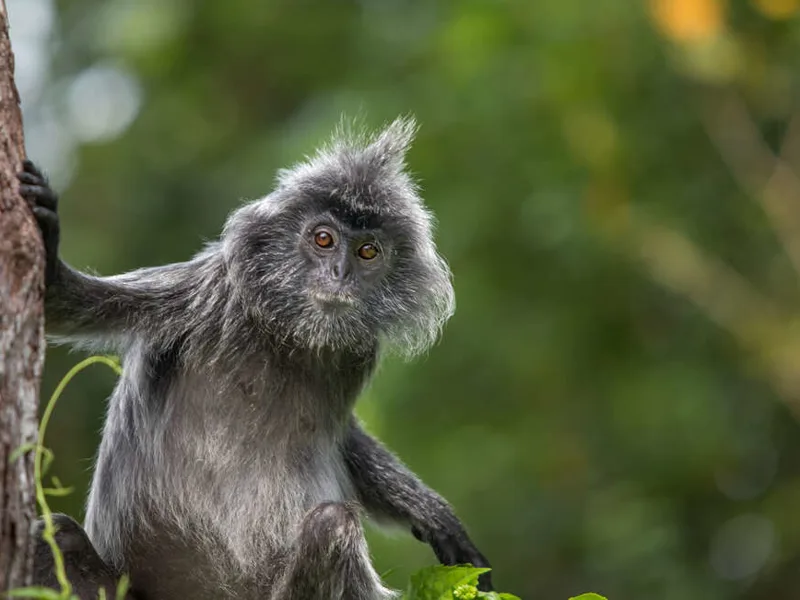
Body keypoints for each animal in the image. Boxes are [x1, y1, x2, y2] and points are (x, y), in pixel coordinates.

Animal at [20, 118, 492, 600]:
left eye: (367, 252)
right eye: (324, 239)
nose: (340, 274)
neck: (287, 336)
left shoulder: (358, 352)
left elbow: (346, 438)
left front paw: (431, 512)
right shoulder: (207, 290)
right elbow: (60, 304)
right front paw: (50, 254)